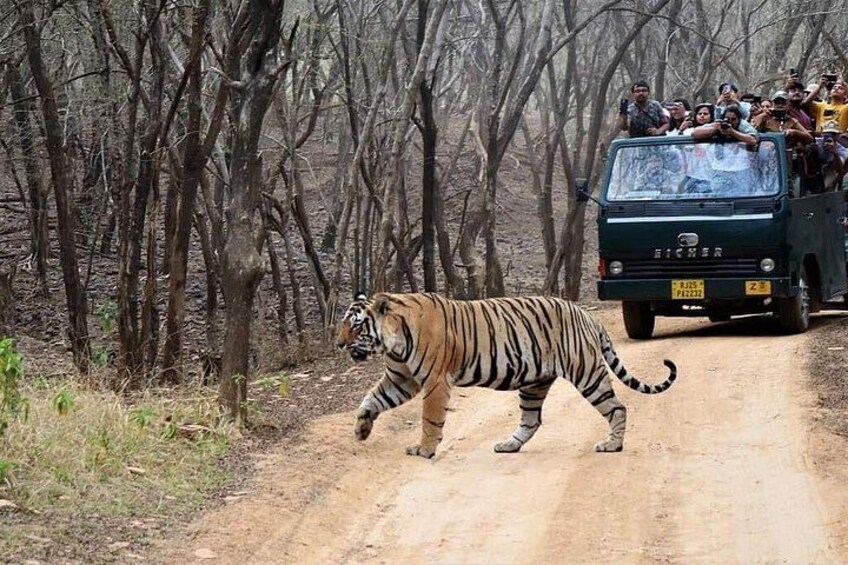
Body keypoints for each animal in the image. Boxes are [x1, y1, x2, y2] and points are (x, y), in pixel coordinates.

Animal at [336, 292, 677, 459]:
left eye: (355, 325)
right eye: (343, 324)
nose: (338, 344)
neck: (392, 340)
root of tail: (588, 316)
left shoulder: (434, 381)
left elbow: (430, 420)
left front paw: (425, 450)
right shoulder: (401, 378)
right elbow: (371, 399)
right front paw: (361, 429)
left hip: (587, 373)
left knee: (617, 407)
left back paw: (612, 445)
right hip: (534, 383)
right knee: (532, 420)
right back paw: (508, 446)